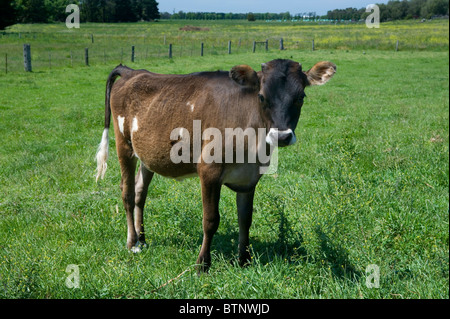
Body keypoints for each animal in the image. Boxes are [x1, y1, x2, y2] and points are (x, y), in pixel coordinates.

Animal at [96, 58, 336, 274]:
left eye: (301, 97)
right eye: (261, 96)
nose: (282, 136)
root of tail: (132, 71)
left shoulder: (249, 178)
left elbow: (245, 219)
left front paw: (244, 259)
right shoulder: (209, 171)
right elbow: (211, 220)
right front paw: (203, 264)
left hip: (147, 153)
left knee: (140, 191)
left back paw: (143, 238)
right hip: (123, 144)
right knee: (127, 192)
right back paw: (133, 243)